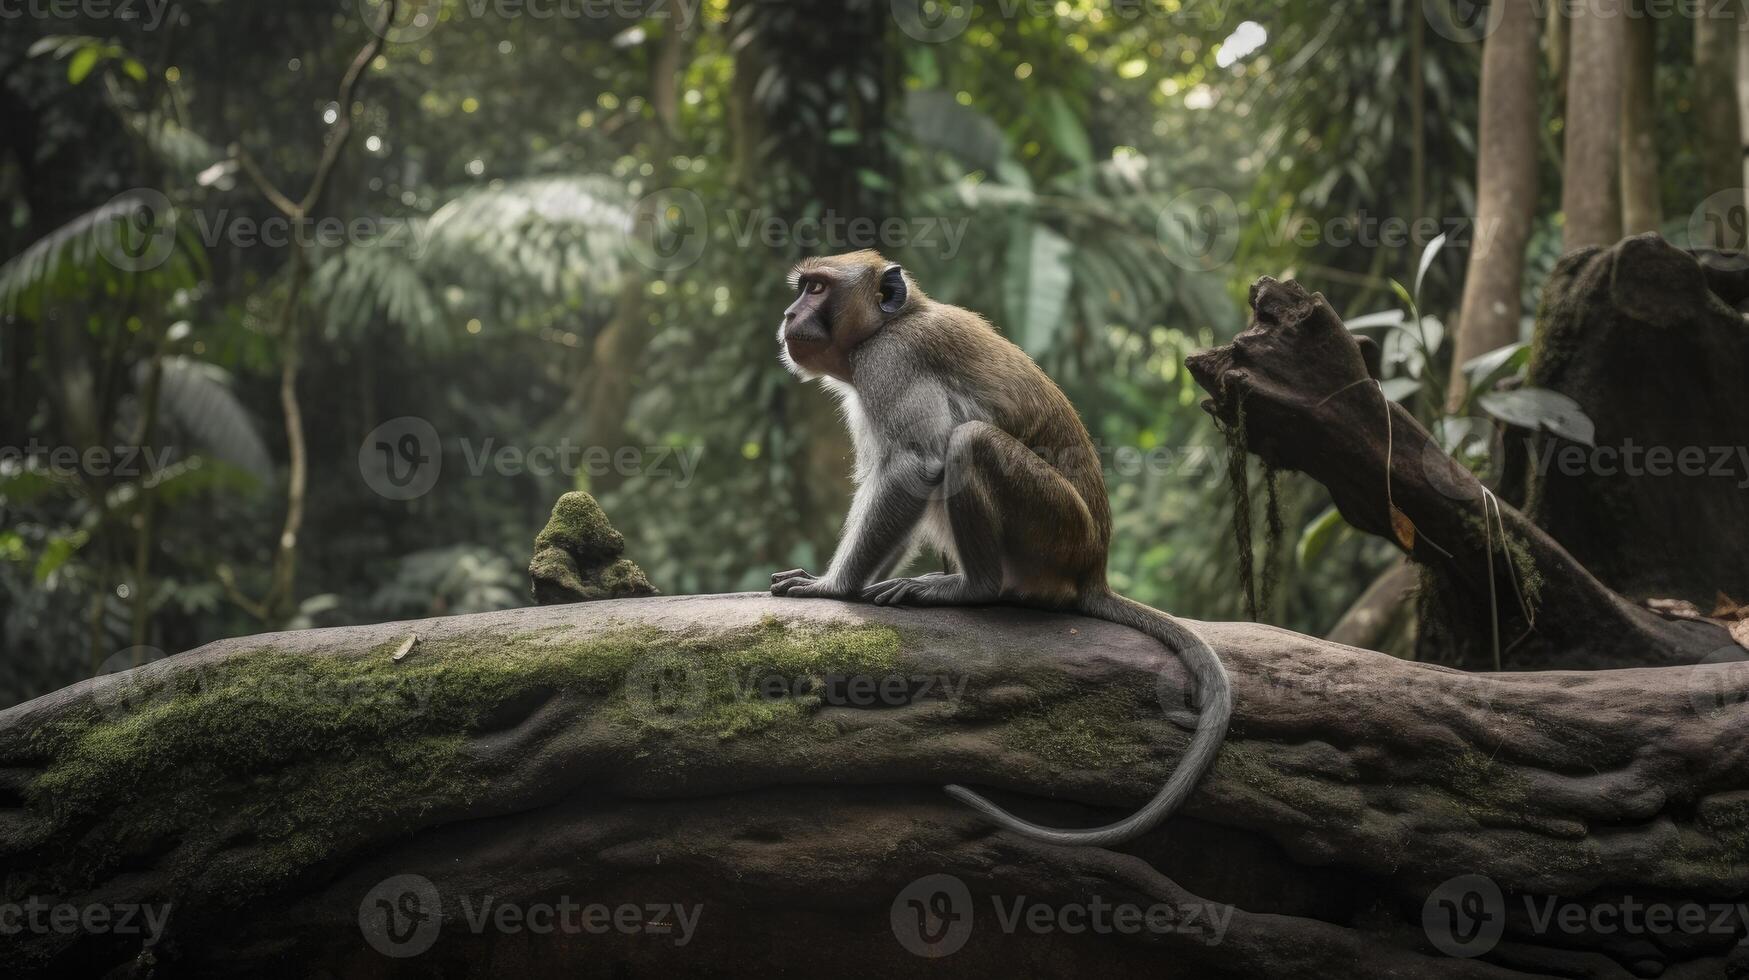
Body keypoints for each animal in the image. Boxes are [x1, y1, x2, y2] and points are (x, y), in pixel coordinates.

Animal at [766, 248, 1231, 847]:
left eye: (818, 289)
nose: (788, 313)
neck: (890, 322)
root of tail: (1094, 566)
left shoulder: (890, 362)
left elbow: (915, 464)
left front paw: (833, 587)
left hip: (1054, 531)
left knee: (970, 441)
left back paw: (971, 588)